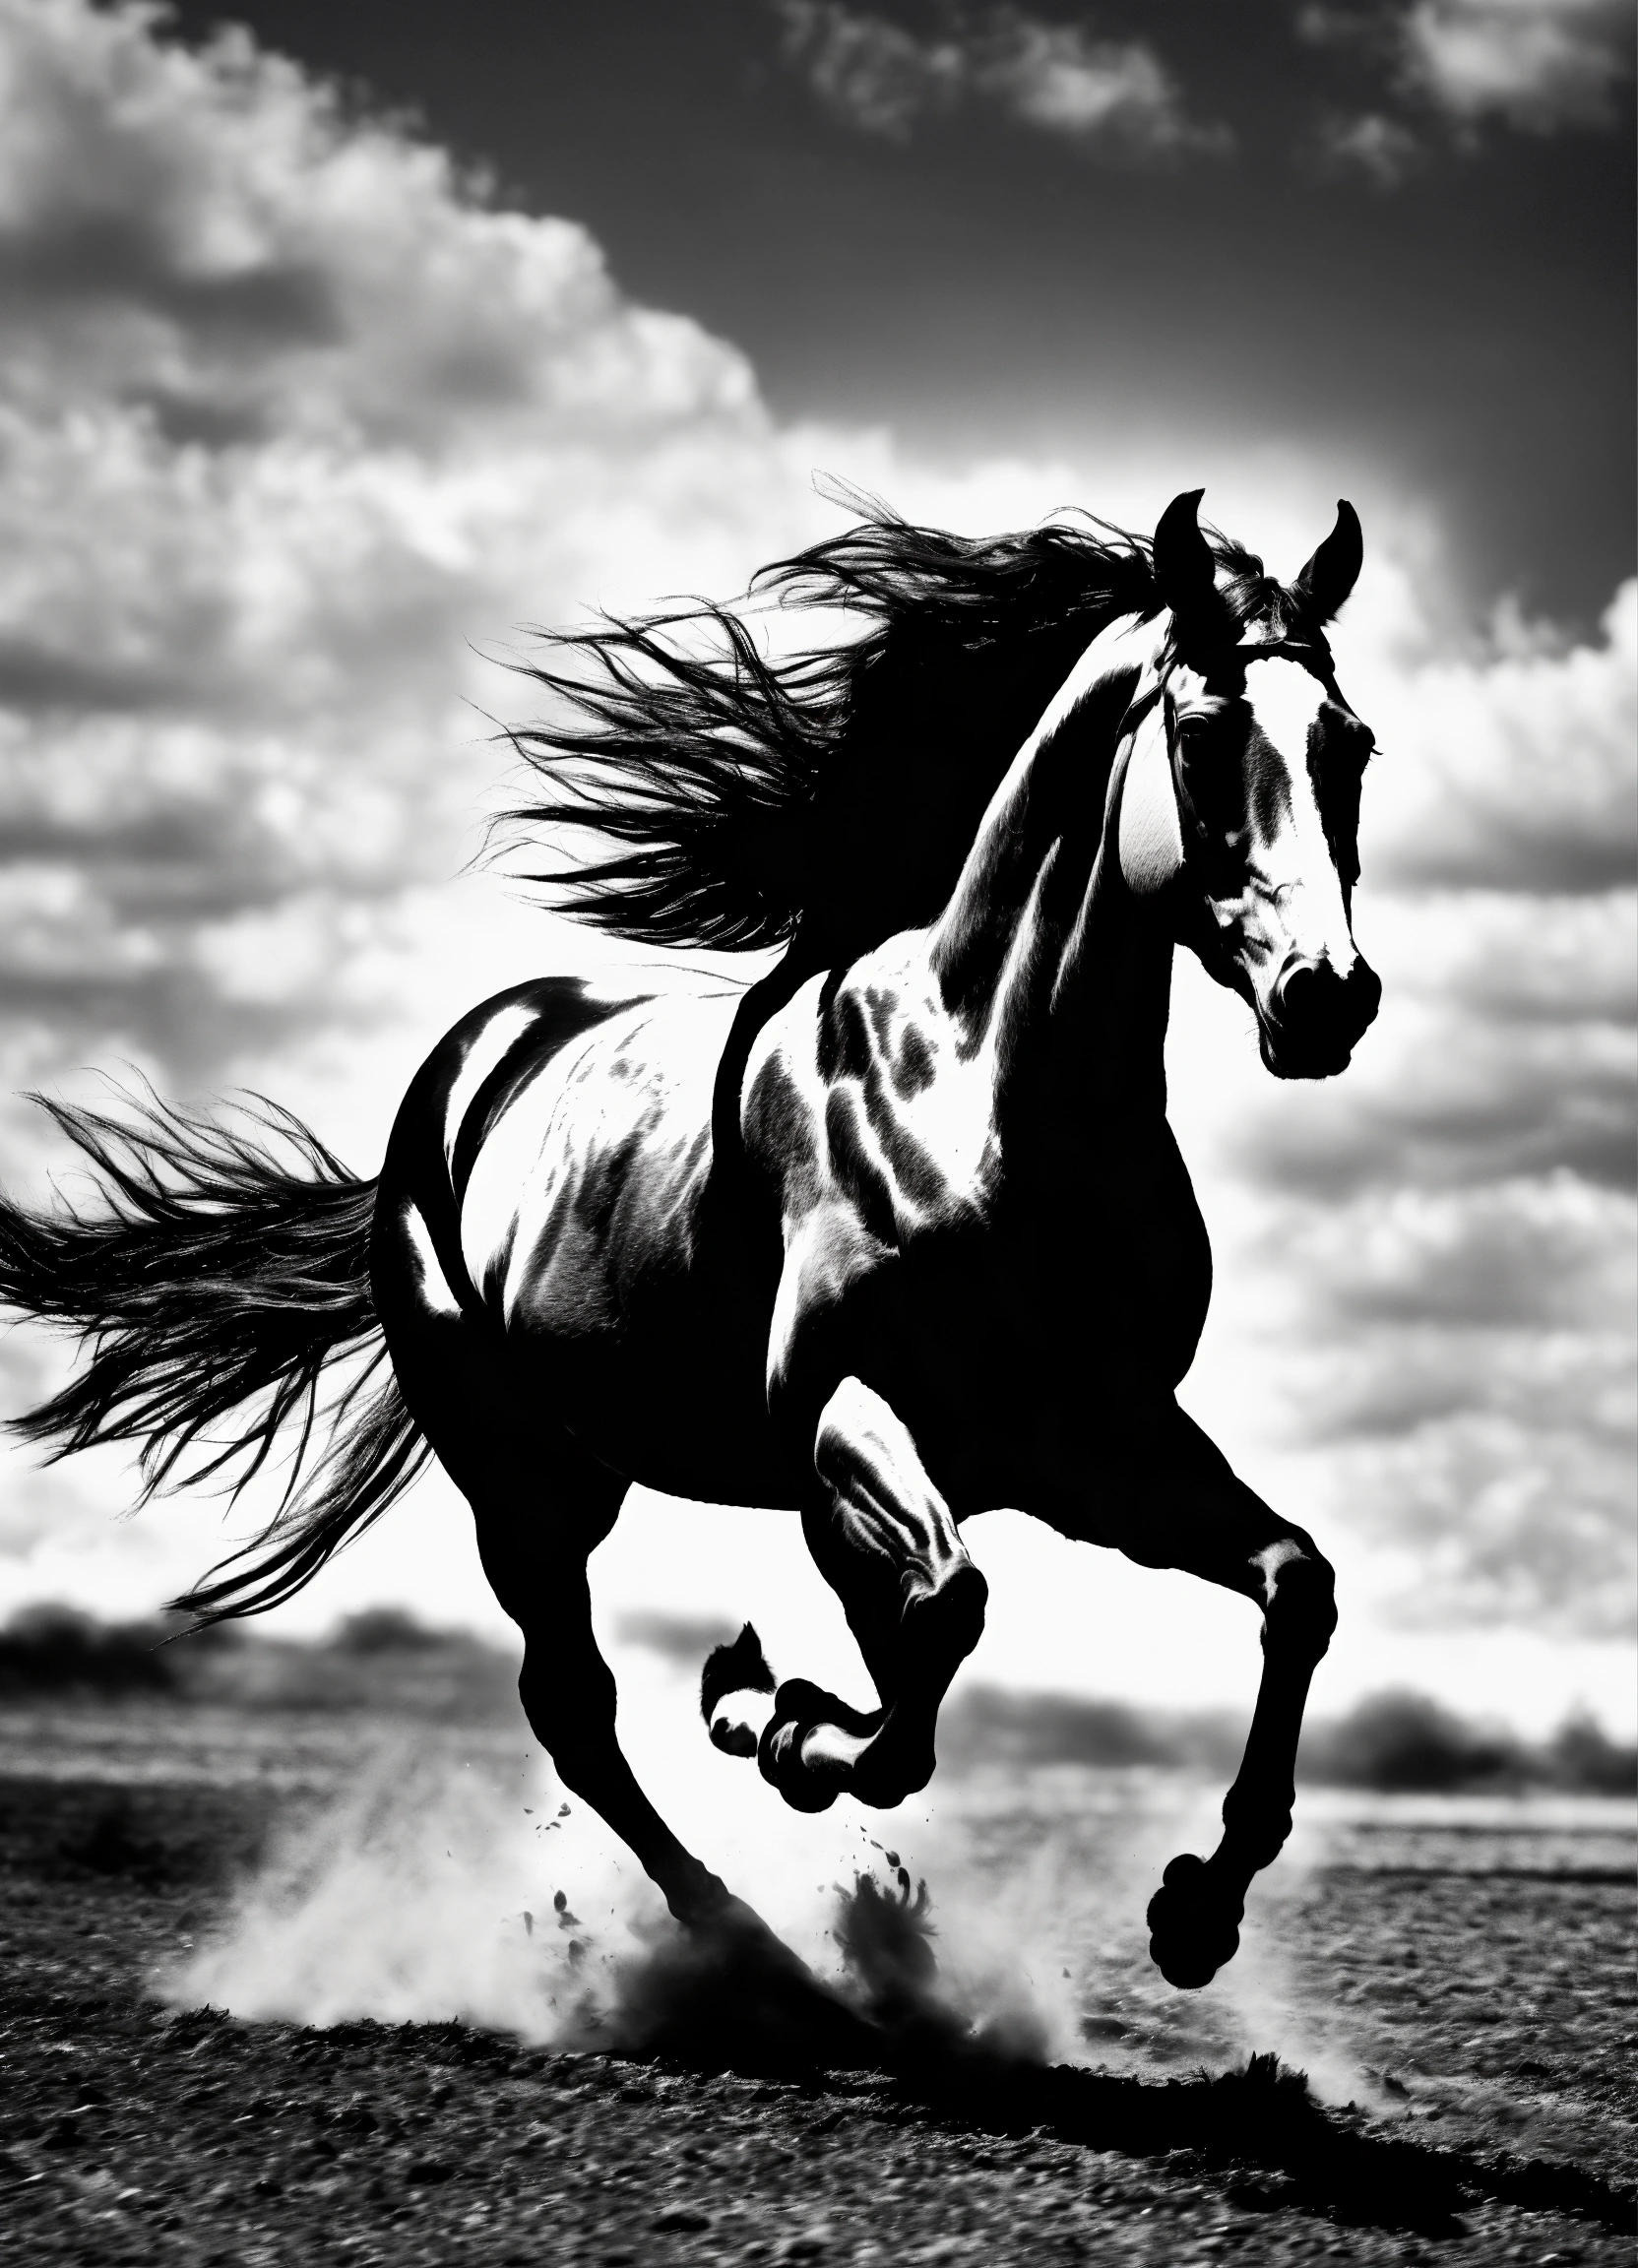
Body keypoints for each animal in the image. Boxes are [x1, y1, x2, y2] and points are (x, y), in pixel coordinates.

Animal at [0, 488, 1380, 1991]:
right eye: (1207, 734)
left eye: (1351, 744)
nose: (1328, 998)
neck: (983, 1097)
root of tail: (455, 1082)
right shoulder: (843, 1424)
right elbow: (931, 1636)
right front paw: (766, 1722)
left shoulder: (1097, 1446)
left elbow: (1290, 1582)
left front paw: (1196, 1911)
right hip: (517, 1477)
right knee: (573, 1700)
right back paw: (740, 1932)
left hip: (593, 1463)